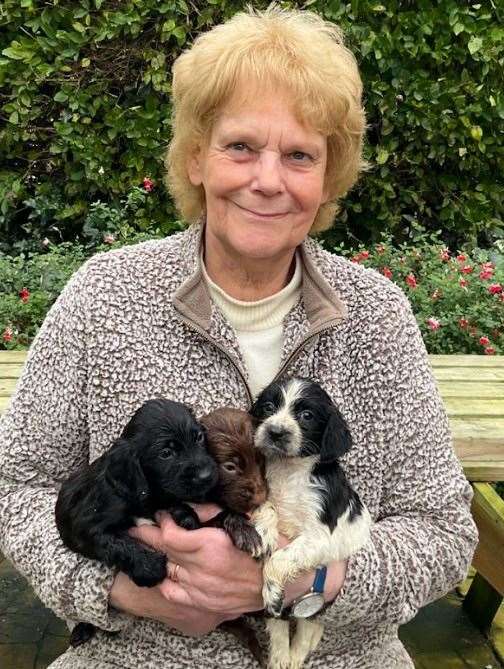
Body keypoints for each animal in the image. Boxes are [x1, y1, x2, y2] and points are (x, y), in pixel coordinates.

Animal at [55, 400, 219, 644]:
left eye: (198, 437)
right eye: (166, 453)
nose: (207, 475)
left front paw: (186, 515)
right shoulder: (86, 526)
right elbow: (118, 544)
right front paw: (149, 567)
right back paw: (82, 629)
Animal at [250, 378, 372, 668]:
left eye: (307, 415)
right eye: (268, 407)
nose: (275, 432)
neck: (290, 471)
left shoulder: (320, 538)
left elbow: (279, 559)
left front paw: (271, 588)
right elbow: (268, 507)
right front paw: (263, 530)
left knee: (307, 627)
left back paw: (294, 656)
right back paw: (281, 657)